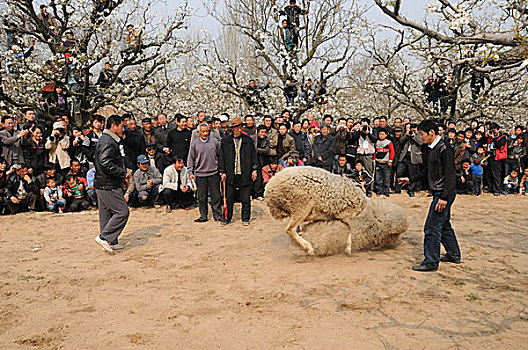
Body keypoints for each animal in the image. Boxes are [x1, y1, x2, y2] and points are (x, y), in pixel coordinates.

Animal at [264, 165, 408, 256]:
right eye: (391, 234)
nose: (396, 241)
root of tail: (269, 189)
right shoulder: (349, 215)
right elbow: (351, 231)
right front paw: (348, 249)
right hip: (301, 206)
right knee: (290, 230)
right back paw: (309, 248)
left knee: (295, 229)